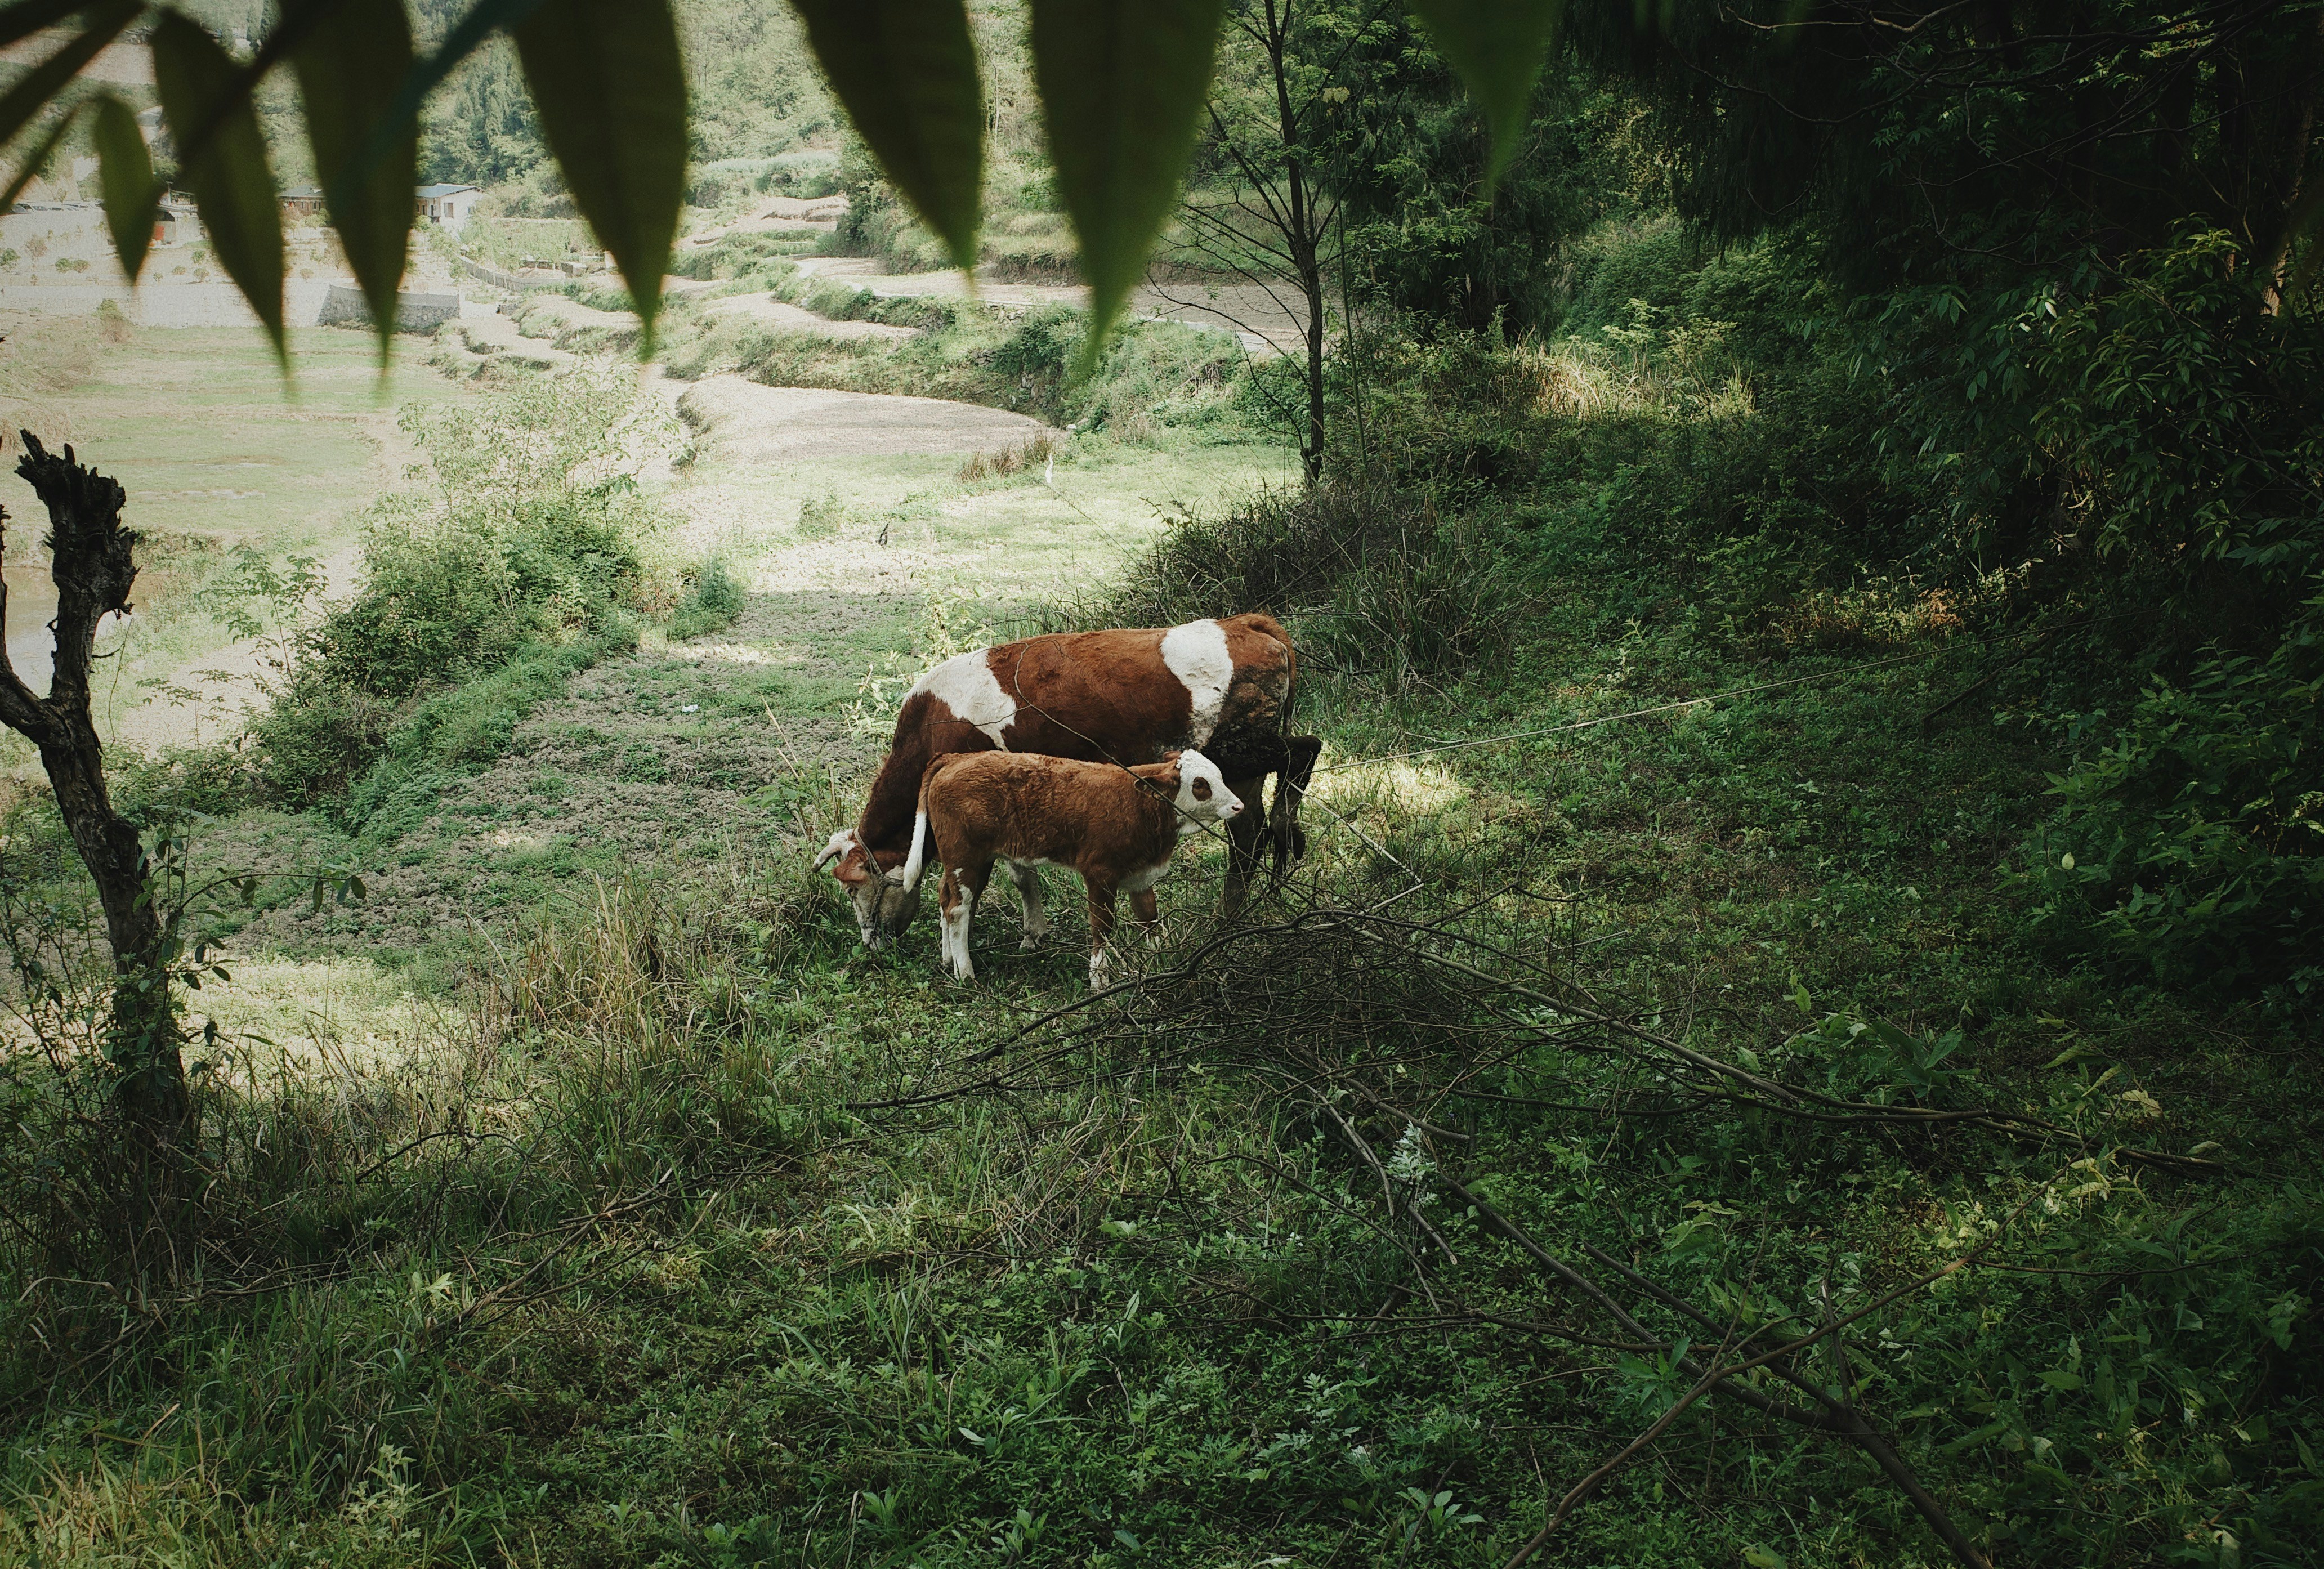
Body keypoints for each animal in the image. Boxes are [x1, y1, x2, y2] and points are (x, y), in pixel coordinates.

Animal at [813, 613, 1322, 948]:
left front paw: (1031, 933)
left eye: (853, 887)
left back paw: (1273, 854)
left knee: (1302, 754)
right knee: (1249, 830)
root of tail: (1245, 623)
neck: (933, 719)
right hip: (1238, 770)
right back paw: (1246, 903)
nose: (871, 943)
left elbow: (1018, 872)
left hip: (1240, 746)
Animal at [898, 748, 1244, 989]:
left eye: (1220, 776)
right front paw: (1099, 981)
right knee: (958, 909)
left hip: (967, 862)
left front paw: (1162, 962)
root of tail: (956, 757)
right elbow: (1101, 926)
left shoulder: (1141, 876)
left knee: (946, 899)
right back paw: (966, 974)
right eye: (1201, 785)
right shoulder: (1100, 873)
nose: (1238, 806)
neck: (1140, 804)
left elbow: (1149, 919)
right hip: (966, 858)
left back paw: (949, 960)